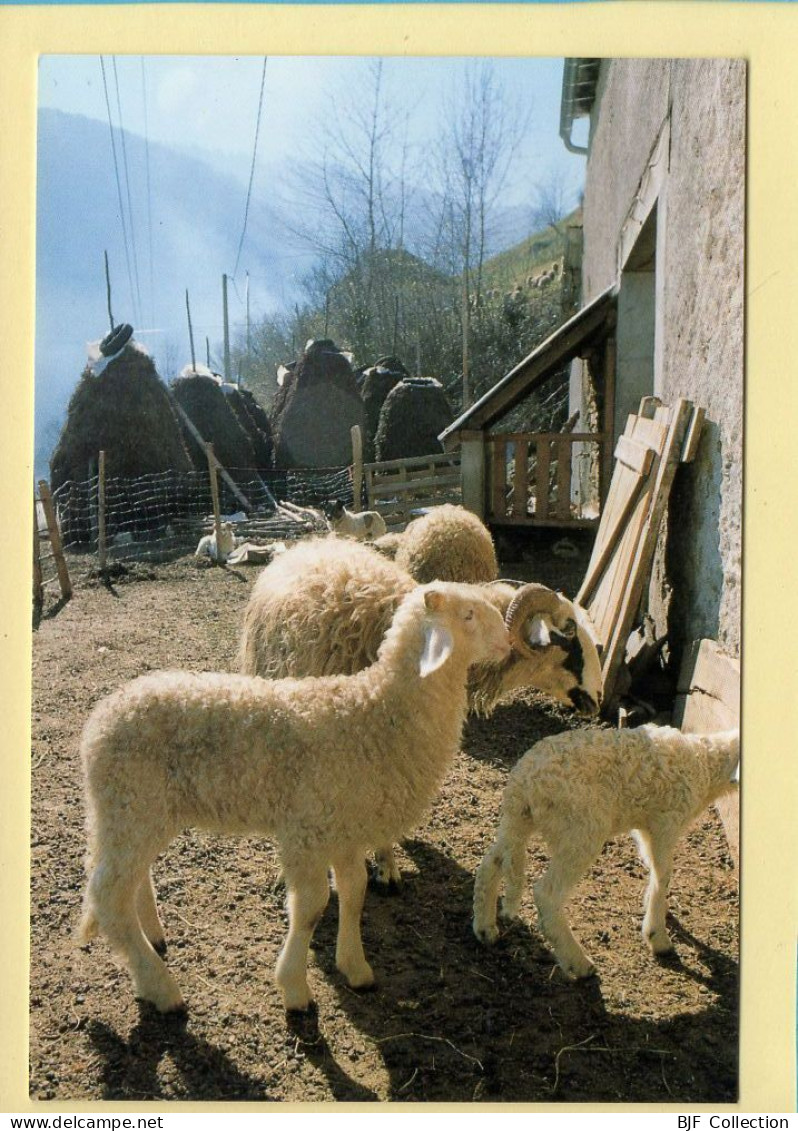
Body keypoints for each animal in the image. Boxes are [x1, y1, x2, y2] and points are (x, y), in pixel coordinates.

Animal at [79, 579, 510, 1013]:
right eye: (468, 615)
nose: (508, 640)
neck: (375, 711)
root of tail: (99, 719)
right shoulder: (306, 829)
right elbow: (311, 907)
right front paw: (295, 988)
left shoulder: (344, 827)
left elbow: (354, 890)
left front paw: (355, 967)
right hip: (131, 804)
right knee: (109, 897)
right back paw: (161, 987)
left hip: (139, 813)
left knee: (132, 879)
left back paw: (154, 937)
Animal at [470, 728, 736, 977]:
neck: (705, 764)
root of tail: (523, 783)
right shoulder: (666, 823)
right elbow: (663, 876)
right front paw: (657, 936)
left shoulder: (646, 827)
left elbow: (652, 867)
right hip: (581, 830)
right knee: (547, 894)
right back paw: (579, 963)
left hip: (517, 821)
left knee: (491, 863)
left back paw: (485, 928)